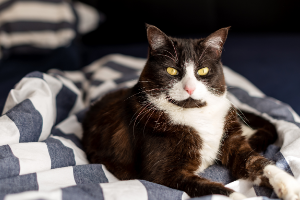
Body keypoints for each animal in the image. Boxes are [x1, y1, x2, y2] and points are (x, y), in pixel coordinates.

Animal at [81, 24, 300, 199]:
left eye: (202, 71)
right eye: (171, 71)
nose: (189, 88)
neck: (197, 115)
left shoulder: (235, 143)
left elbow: (259, 161)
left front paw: (289, 185)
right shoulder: (163, 174)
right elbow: (221, 189)